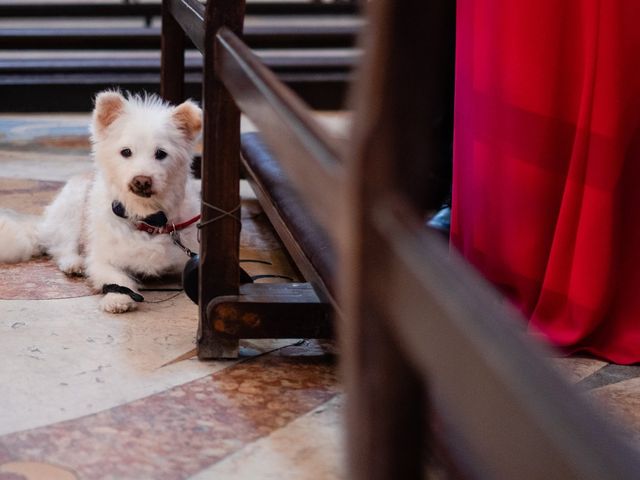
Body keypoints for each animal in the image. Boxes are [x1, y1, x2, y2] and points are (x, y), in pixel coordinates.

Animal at [0, 90, 202, 316]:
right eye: (126, 152)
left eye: (161, 153)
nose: (141, 180)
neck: (147, 219)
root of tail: (45, 225)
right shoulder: (102, 260)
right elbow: (117, 278)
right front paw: (118, 298)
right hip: (72, 210)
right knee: (61, 247)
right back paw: (74, 263)